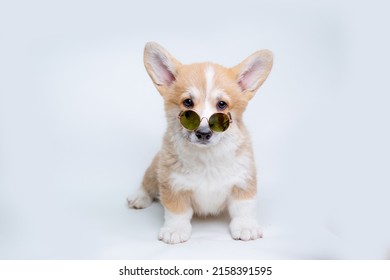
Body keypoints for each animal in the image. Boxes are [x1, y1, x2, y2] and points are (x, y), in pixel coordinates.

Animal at [126, 41, 272, 243]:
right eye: (188, 103)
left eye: (222, 105)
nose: (203, 133)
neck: (207, 157)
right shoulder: (173, 185)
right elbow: (177, 212)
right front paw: (175, 230)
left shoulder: (243, 181)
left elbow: (244, 207)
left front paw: (246, 227)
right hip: (155, 169)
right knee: (147, 183)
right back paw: (138, 197)